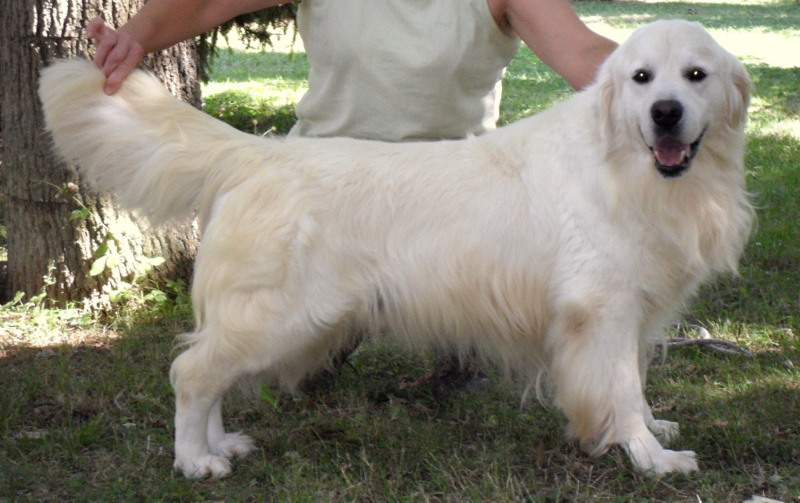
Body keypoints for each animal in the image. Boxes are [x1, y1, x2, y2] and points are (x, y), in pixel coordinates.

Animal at [39, 20, 753, 478]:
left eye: (696, 75)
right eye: (641, 78)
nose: (665, 112)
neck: (627, 166)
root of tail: (257, 153)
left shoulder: (630, 311)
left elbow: (631, 386)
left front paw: (649, 432)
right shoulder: (601, 309)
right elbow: (623, 390)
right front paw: (652, 459)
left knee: (208, 373)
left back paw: (221, 446)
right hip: (281, 316)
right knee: (191, 373)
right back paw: (194, 461)